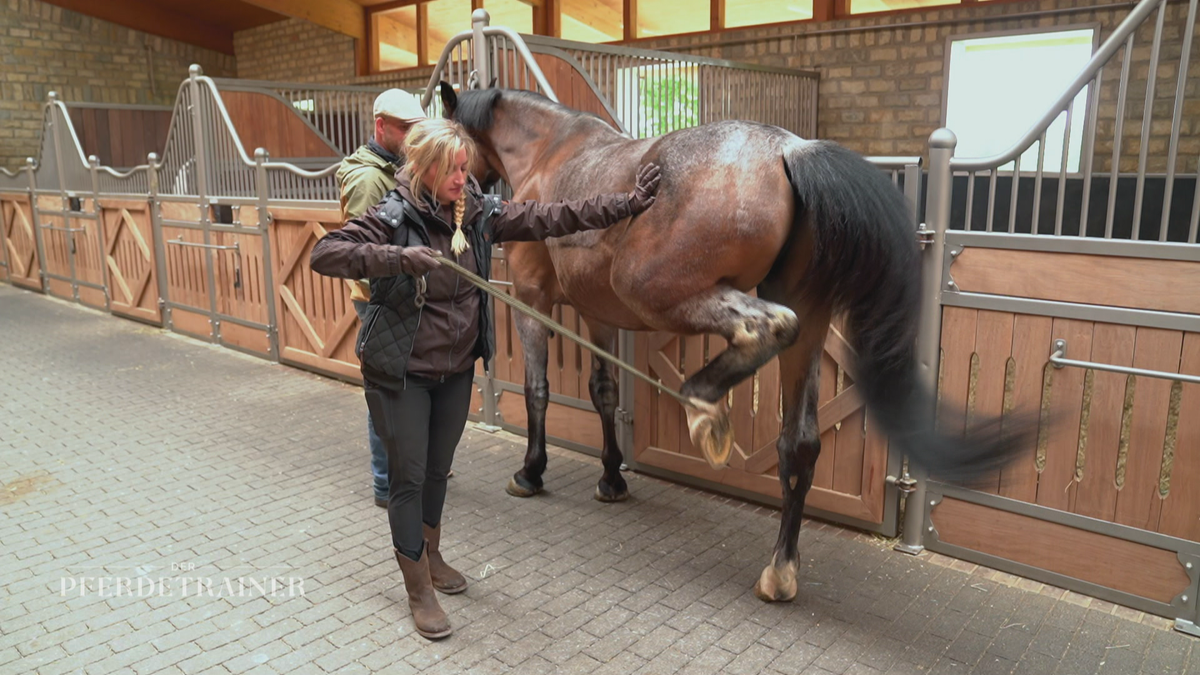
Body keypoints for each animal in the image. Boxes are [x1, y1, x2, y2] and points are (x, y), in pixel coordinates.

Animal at [441, 84, 1032, 598]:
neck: (552, 152)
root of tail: (791, 149)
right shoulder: (598, 316)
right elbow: (602, 393)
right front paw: (611, 478)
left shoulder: (533, 300)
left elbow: (537, 392)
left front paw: (530, 471)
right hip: (808, 324)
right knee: (800, 441)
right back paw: (780, 570)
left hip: (650, 288)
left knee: (764, 327)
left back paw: (706, 409)